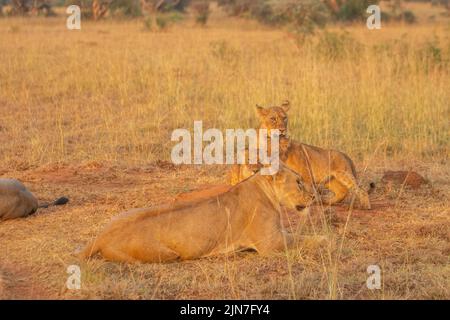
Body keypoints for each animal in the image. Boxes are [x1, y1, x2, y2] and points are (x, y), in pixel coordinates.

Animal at [79, 162, 314, 262]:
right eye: (299, 182)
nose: (313, 196)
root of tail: (100, 237)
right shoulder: (271, 243)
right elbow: (307, 240)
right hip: (165, 255)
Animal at [230, 100, 370, 210]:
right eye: (273, 118)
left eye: (284, 118)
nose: (282, 130)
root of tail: (346, 155)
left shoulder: (304, 170)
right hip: (331, 180)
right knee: (342, 192)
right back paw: (325, 201)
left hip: (343, 174)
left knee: (360, 189)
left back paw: (365, 205)